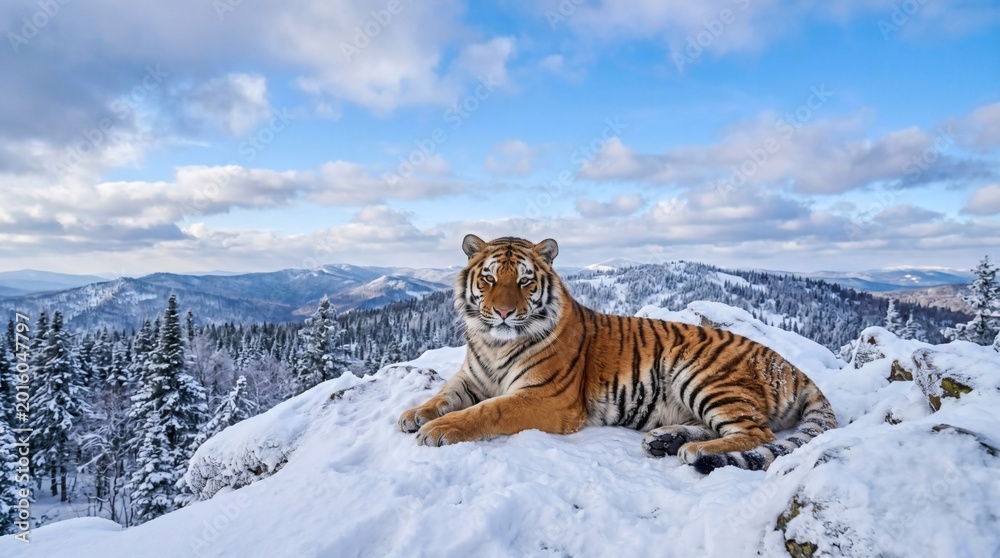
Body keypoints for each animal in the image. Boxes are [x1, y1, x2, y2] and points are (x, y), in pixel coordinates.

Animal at [397, 235, 837, 473]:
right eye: (488, 278)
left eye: (524, 281)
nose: (504, 312)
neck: (494, 342)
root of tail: (792, 368)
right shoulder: (472, 376)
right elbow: (446, 394)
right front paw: (415, 414)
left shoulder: (547, 398)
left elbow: (489, 410)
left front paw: (437, 429)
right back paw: (666, 440)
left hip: (702, 375)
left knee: (757, 433)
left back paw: (693, 450)